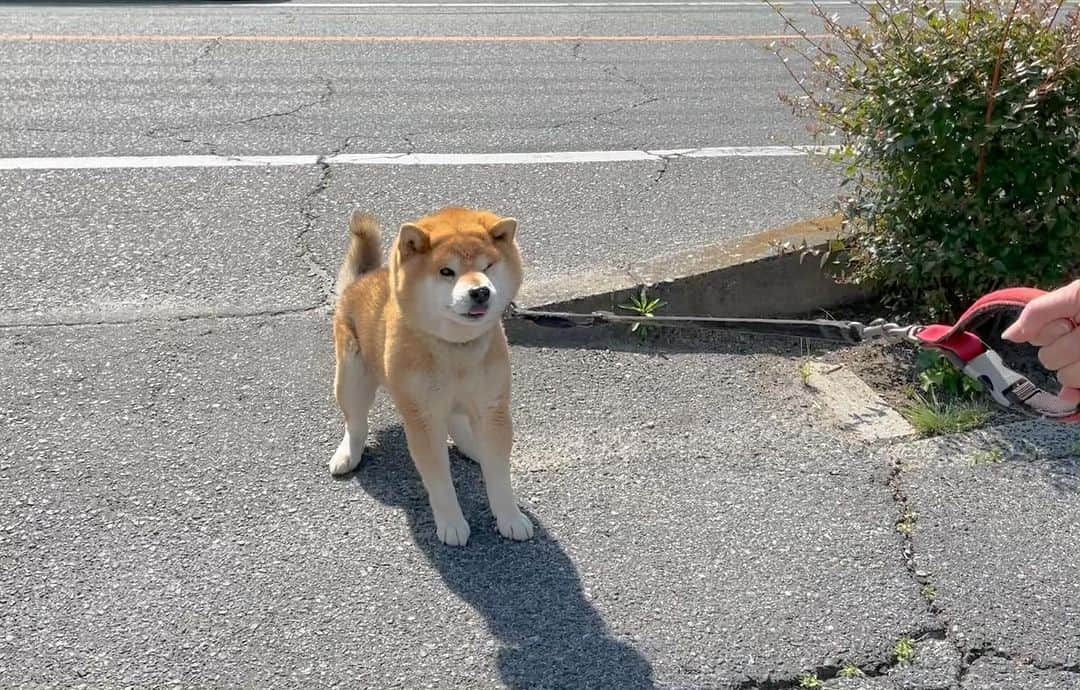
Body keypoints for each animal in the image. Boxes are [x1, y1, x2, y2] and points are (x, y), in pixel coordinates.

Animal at [326, 205, 533, 544]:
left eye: (487, 266)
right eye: (446, 272)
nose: (480, 291)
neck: (456, 348)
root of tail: (363, 279)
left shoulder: (493, 407)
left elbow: (499, 476)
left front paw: (510, 517)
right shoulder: (422, 417)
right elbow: (439, 481)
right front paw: (451, 523)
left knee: (457, 421)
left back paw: (474, 447)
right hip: (352, 376)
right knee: (356, 422)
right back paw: (348, 454)